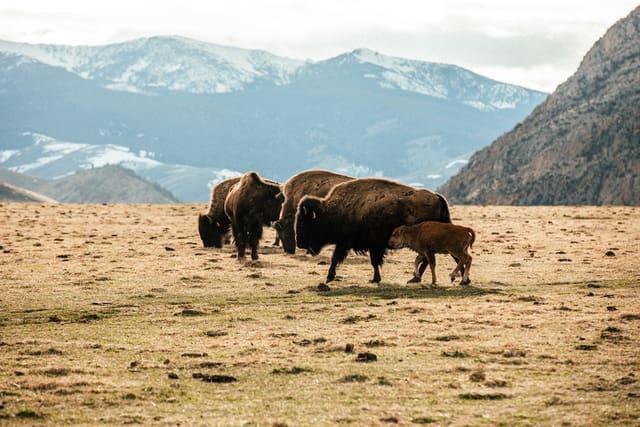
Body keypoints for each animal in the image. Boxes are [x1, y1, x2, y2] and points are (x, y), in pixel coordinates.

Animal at [295, 178, 451, 283]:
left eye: (304, 223)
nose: (299, 243)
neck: (333, 211)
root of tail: (437, 197)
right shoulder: (369, 246)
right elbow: (373, 262)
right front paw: (375, 279)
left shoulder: (349, 244)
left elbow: (337, 258)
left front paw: (329, 277)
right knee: (427, 259)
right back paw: (415, 278)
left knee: (426, 258)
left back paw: (415, 278)